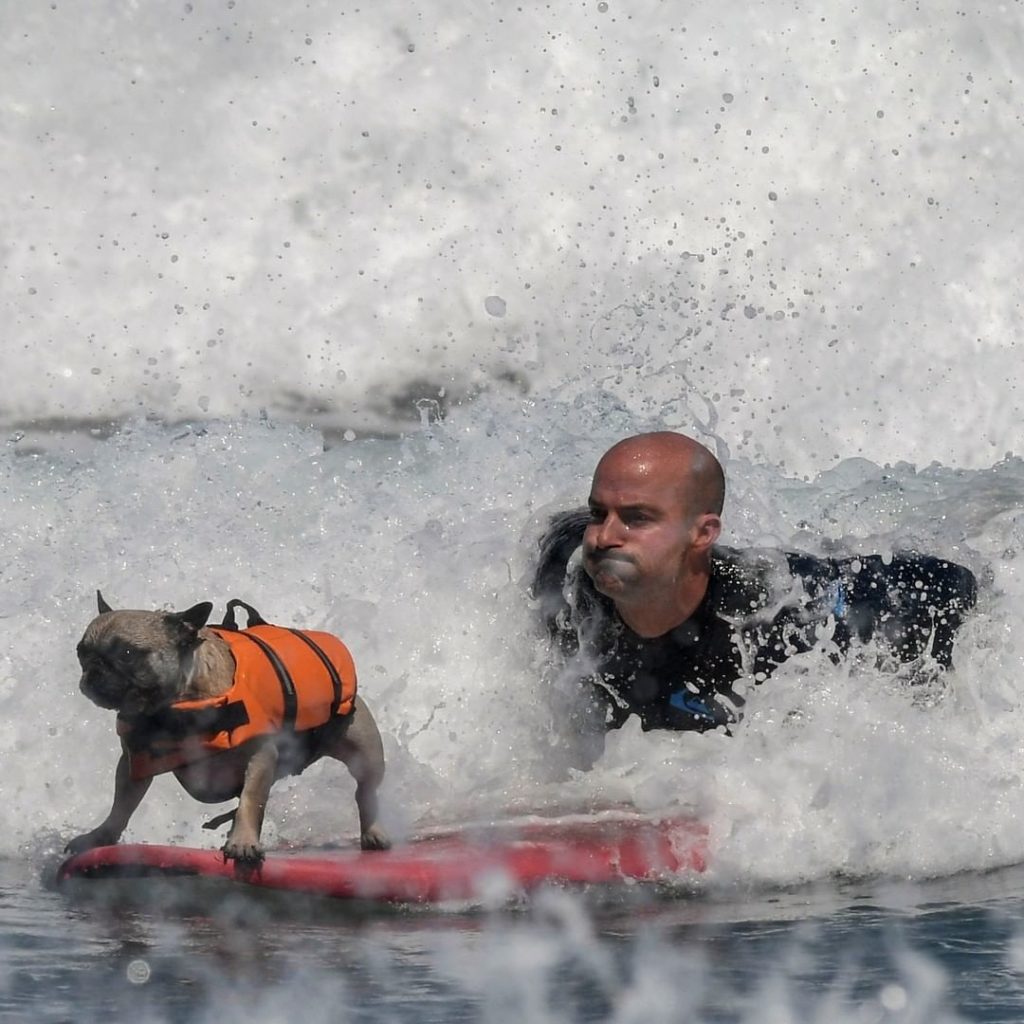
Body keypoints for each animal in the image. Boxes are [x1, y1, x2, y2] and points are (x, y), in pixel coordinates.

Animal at [65, 593, 391, 864]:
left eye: (127, 654)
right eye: (81, 652)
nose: (94, 670)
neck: (175, 706)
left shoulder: (260, 755)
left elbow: (251, 799)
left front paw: (243, 842)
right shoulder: (134, 762)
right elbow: (122, 804)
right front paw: (101, 836)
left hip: (365, 752)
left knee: (365, 791)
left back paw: (374, 832)